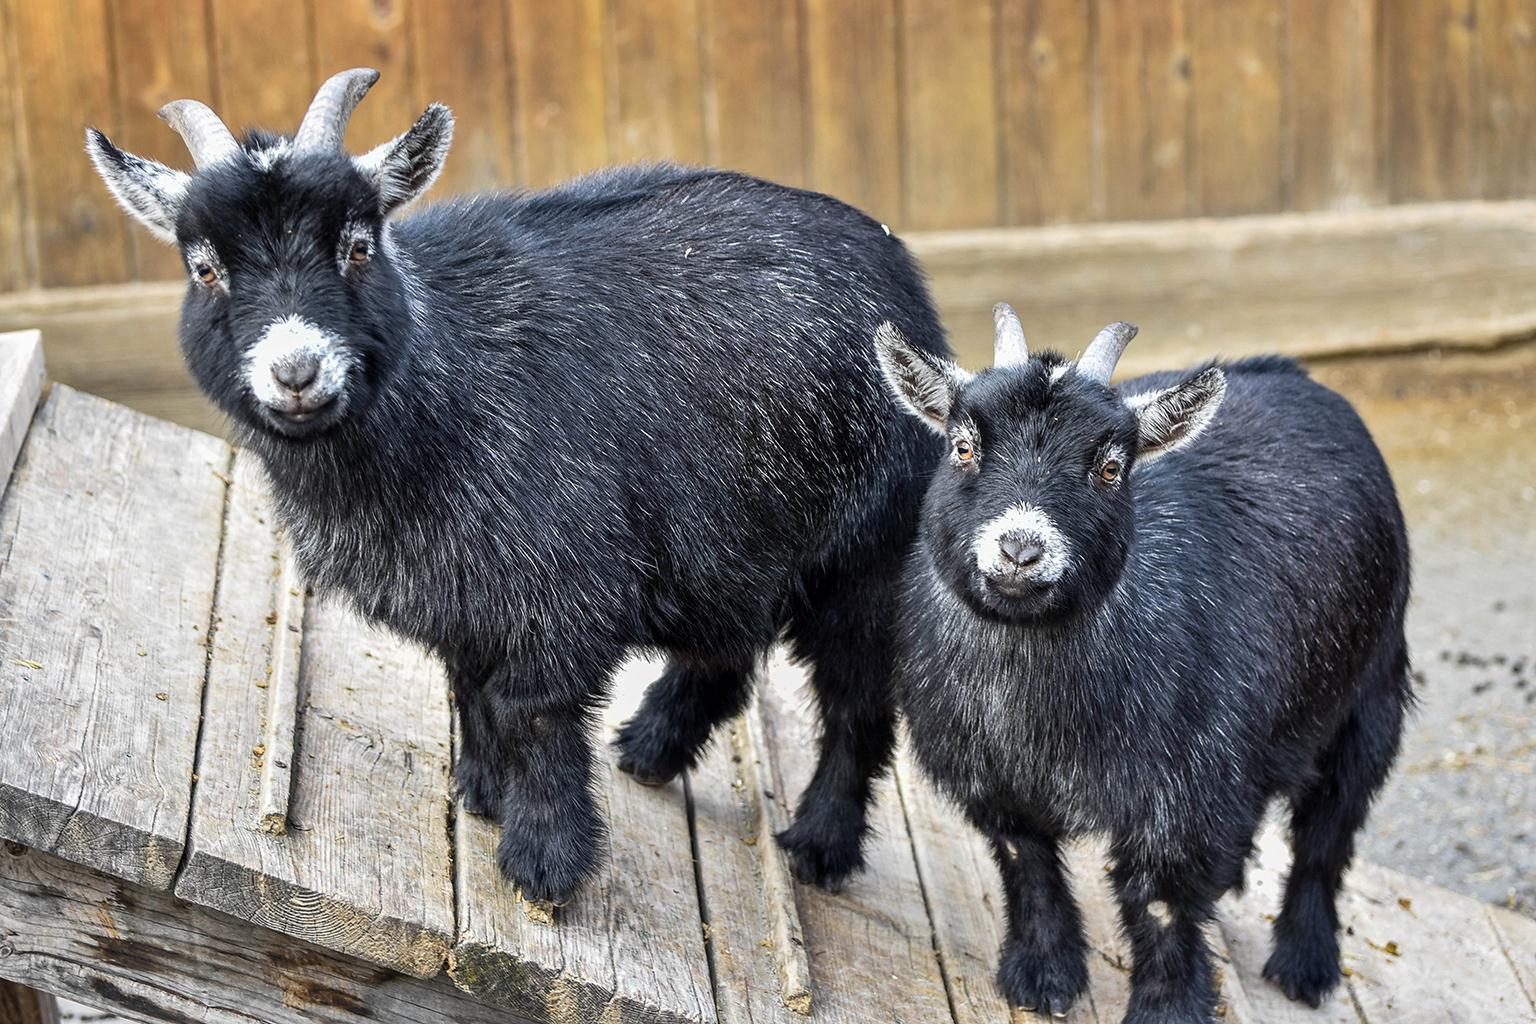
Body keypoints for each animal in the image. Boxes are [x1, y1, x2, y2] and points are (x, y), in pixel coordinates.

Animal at [92, 67, 946, 902]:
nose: (297, 372)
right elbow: (469, 690)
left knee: (857, 704)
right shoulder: (464, 597)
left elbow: (530, 713)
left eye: (358, 246)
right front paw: (482, 792)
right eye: (205, 267)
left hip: (865, 556)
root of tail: (904, 279)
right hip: (735, 532)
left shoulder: (559, 593)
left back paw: (820, 845)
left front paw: (545, 862)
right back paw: (650, 747)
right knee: (728, 649)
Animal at [878, 307, 1413, 1024]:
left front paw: (1167, 1008)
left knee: (1327, 834)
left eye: (1110, 467)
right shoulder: (996, 779)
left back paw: (1306, 963)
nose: (1019, 549)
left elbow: (1161, 903)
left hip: (1370, 697)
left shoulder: (1185, 793)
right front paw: (1042, 975)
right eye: (963, 446)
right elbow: (1028, 863)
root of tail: (1294, 374)